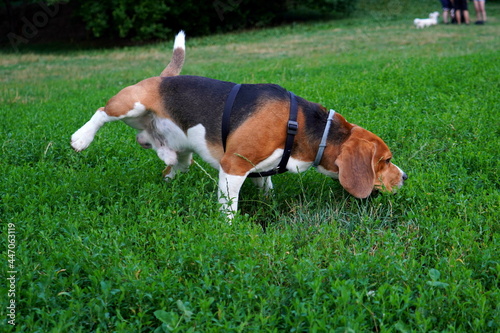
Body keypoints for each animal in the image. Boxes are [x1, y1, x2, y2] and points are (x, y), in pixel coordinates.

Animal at [70, 30, 406, 218]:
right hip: (131, 102)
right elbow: (229, 207)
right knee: (101, 111)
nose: (404, 177)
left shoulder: (260, 169)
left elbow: (267, 189)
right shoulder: (234, 166)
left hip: (180, 154)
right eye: (386, 160)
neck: (308, 127)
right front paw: (230, 232)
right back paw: (81, 138)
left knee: (172, 164)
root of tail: (163, 78)